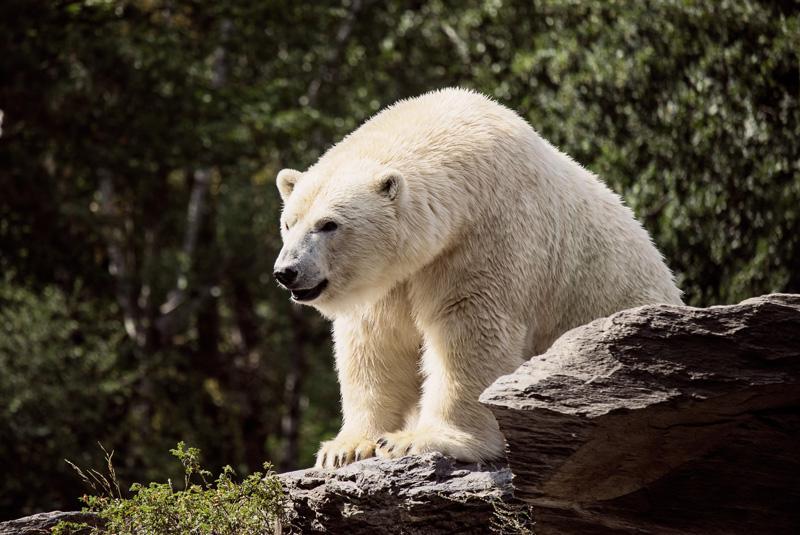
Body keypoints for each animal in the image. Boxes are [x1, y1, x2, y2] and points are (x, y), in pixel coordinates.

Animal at [273, 87, 682, 469]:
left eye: (329, 224)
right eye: (289, 222)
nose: (287, 272)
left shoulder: (488, 234)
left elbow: (469, 329)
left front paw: (419, 440)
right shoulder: (394, 277)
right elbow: (375, 341)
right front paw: (346, 448)